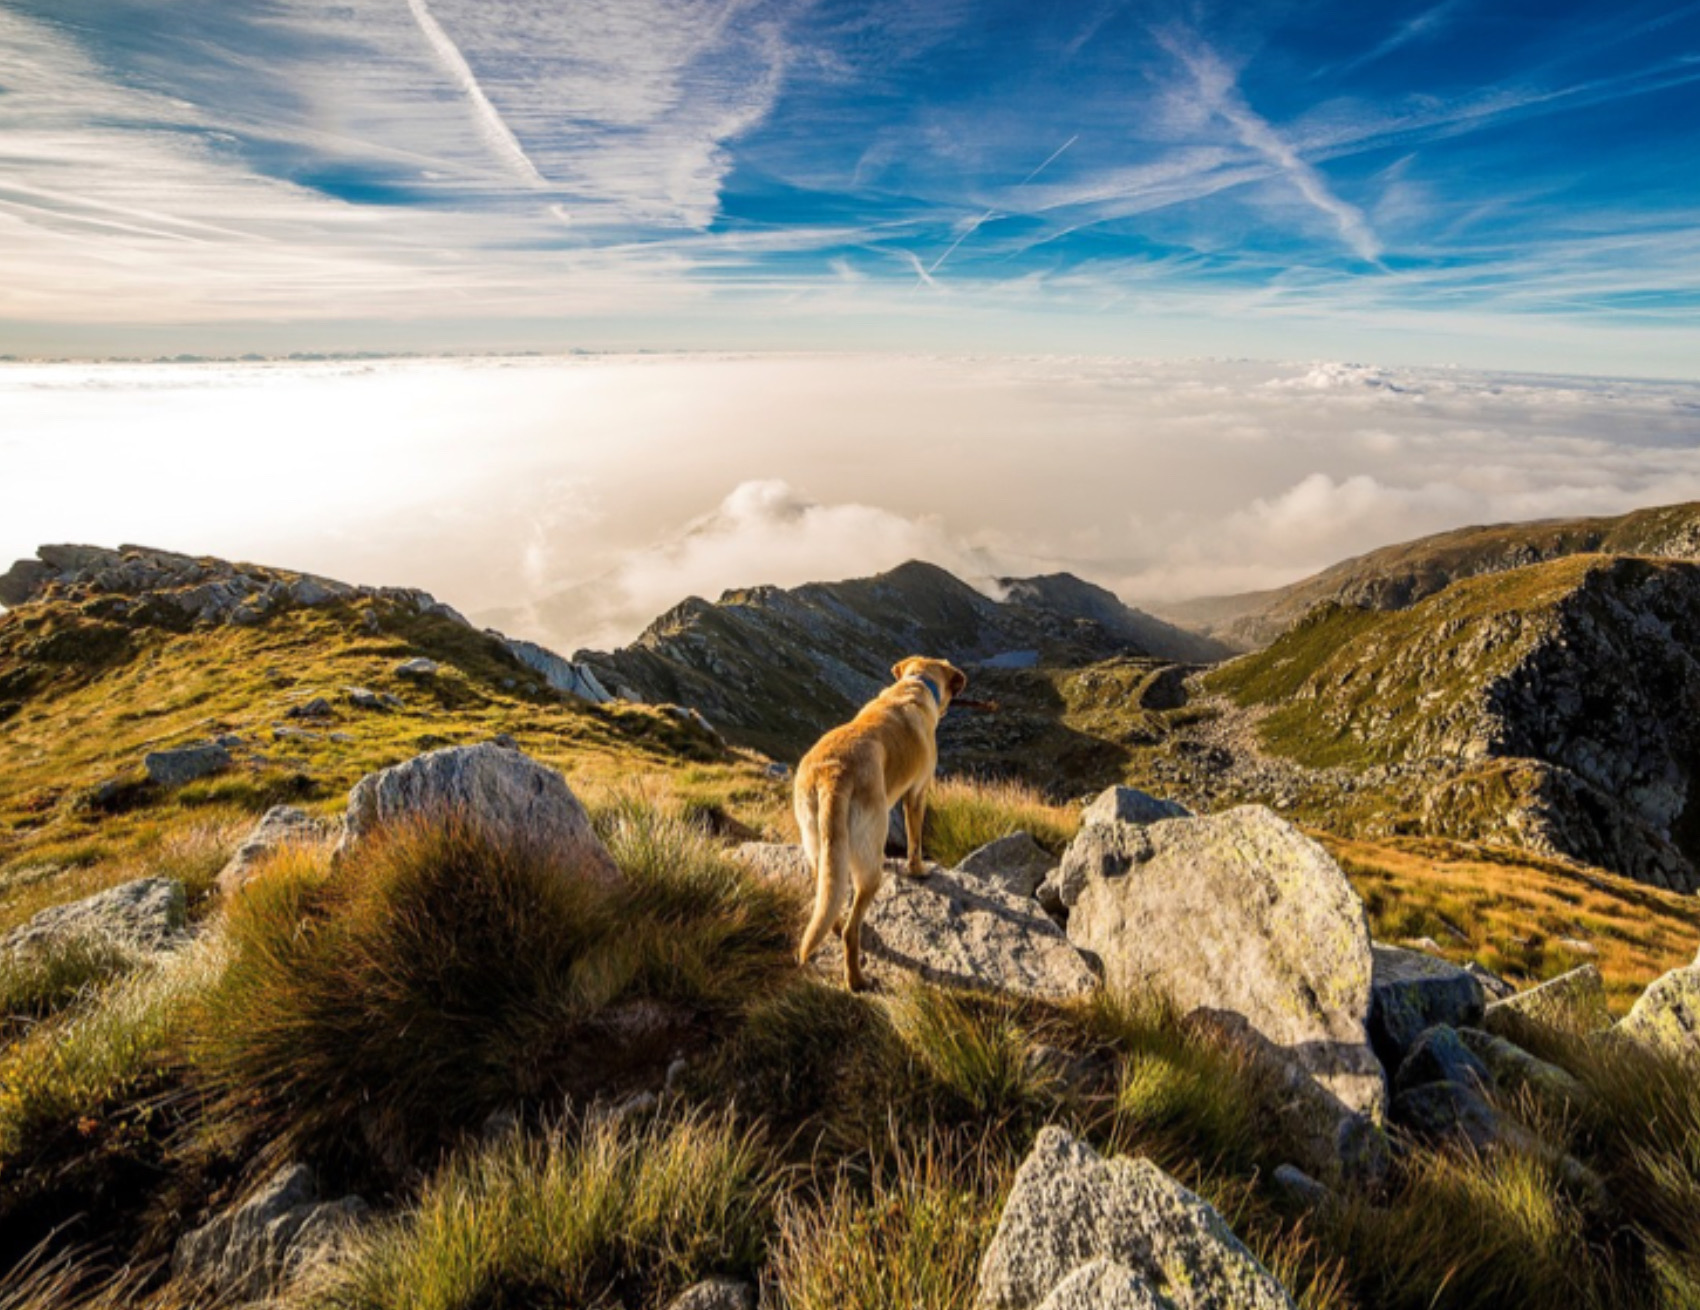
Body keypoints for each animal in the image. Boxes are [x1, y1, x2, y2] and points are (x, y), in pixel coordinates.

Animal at [788, 655, 965, 992]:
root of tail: (834, 774)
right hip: (871, 860)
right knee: (851, 930)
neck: (915, 684)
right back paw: (856, 979)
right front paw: (918, 870)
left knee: (827, 897)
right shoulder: (917, 793)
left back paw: (833, 926)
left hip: (819, 842)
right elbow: (915, 840)